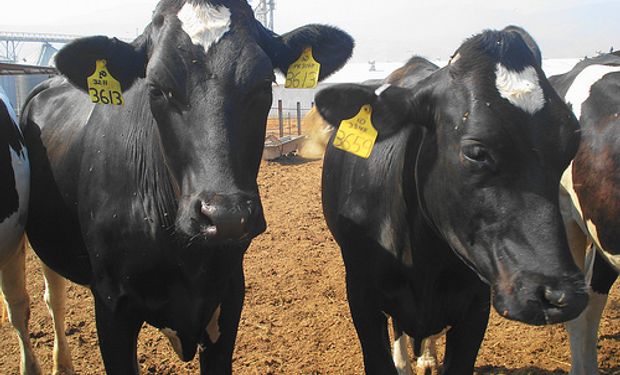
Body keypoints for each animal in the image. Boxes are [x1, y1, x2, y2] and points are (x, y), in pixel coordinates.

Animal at [20, 1, 354, 374]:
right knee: (48, 299)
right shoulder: (111, 306)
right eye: (156, 87)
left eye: (263, 83)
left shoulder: (228, 296)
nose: (225, 215)